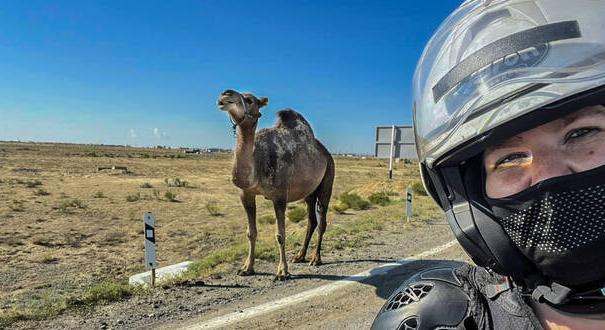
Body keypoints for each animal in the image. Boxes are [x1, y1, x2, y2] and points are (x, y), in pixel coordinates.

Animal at [216, 89, 336, 280]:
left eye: (249, 100)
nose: (225, 94)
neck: (257, 161)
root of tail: (326, 154)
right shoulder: (246, 194)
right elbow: (251, 233)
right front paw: (246, 268)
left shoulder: (279, 196)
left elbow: (280, 234)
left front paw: (282, 271)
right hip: (309, 192)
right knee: (312, 220)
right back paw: (300, 256)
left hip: (327, 181)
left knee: (322, 221)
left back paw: (315, 259)